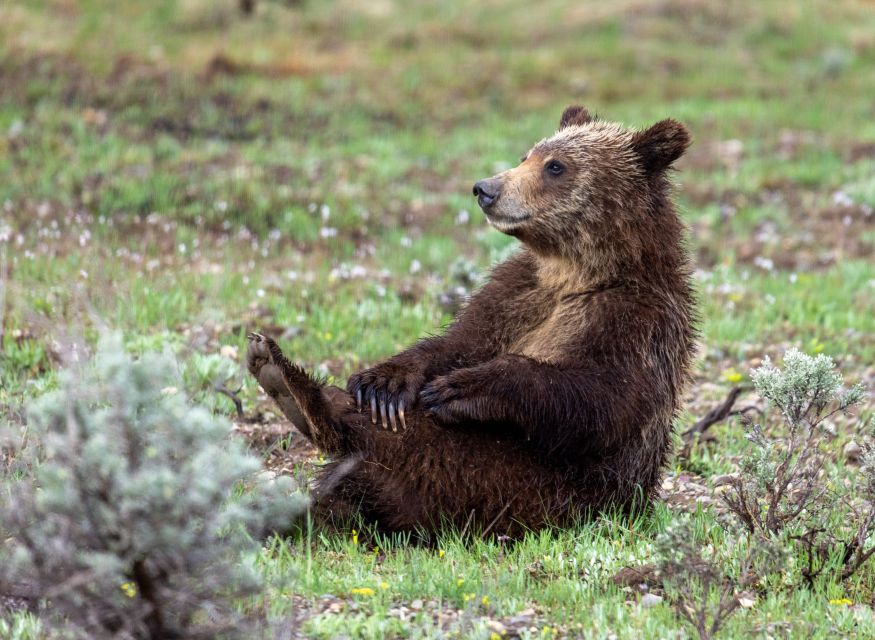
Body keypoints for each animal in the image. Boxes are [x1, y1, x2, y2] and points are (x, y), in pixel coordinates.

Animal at [248, 107, 700, 536]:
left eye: (555, 165)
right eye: (527, 155)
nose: (486, 188)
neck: (576, 273)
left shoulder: (635, 319)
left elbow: (605, 399)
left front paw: (462, 388)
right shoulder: (517, 293)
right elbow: (461, 343)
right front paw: (384, 382)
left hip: (525, 486)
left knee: (428, 449)